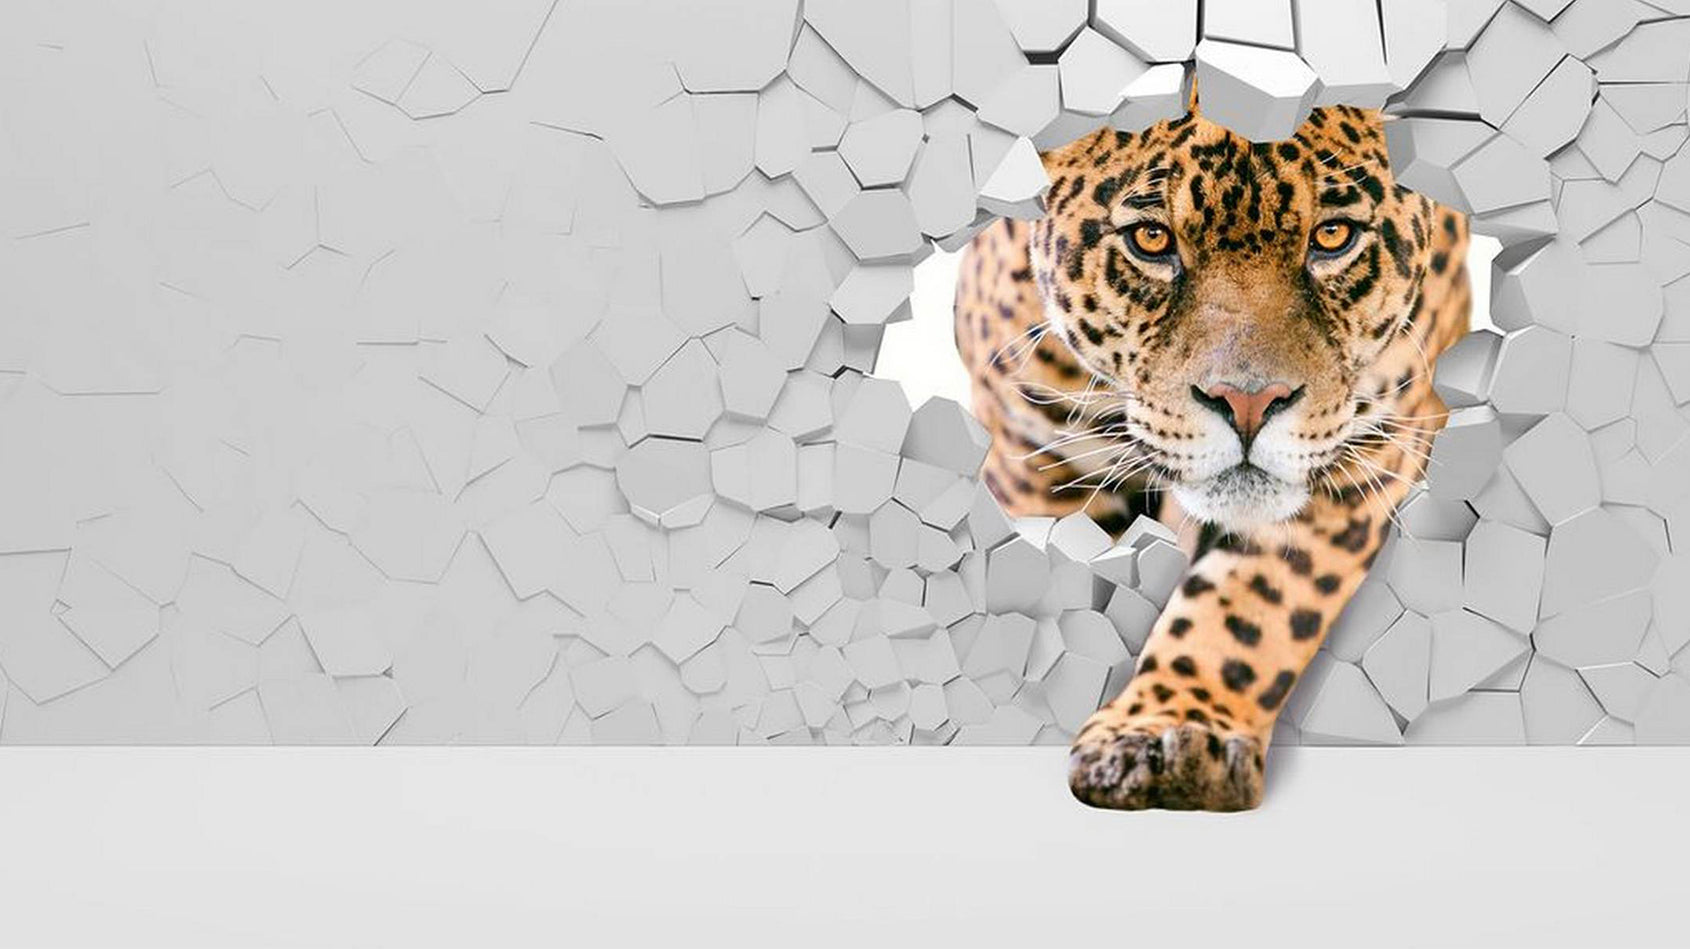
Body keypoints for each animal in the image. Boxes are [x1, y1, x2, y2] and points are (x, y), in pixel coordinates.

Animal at [955, 104, 1471, 812]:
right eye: (1151, 239)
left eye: (1333, 235)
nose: (1249, 403)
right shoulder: (1033, 459)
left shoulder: (1367, 451)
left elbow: (1250, 605)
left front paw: (1174, 730)